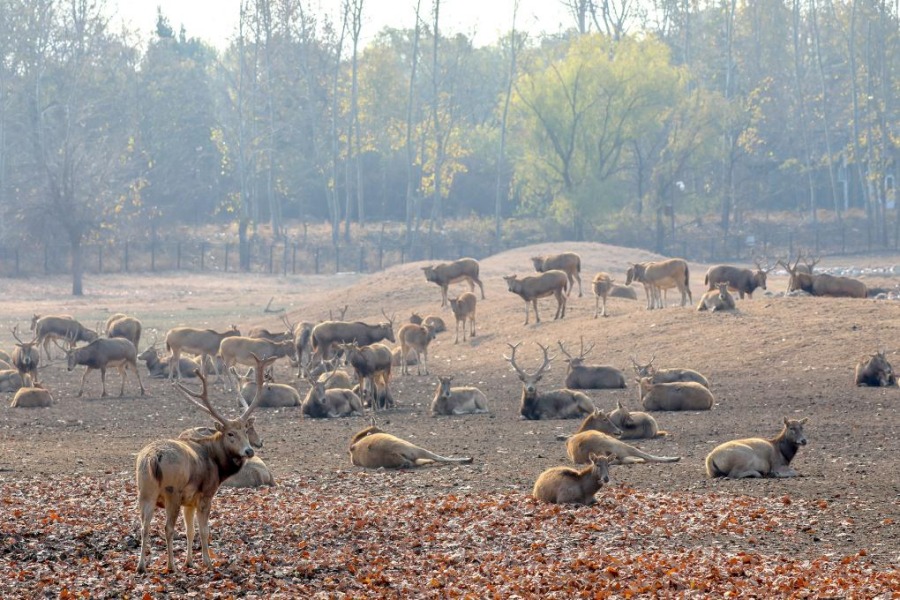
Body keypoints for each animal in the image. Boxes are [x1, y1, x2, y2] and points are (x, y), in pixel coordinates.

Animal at [135, 354, 278, 576]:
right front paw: (207, 562)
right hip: (171, 491)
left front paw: (190, 562)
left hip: (145, 491)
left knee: (144, 526)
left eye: (245, 431)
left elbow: (190, 530)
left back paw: (141, 566)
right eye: (230, 434)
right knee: (167, 528)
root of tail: (153, 457)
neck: (217, 465)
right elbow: (204, 530)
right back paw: (171, 566)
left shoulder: (189, 501)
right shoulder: (205, 493)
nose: (249, 451)